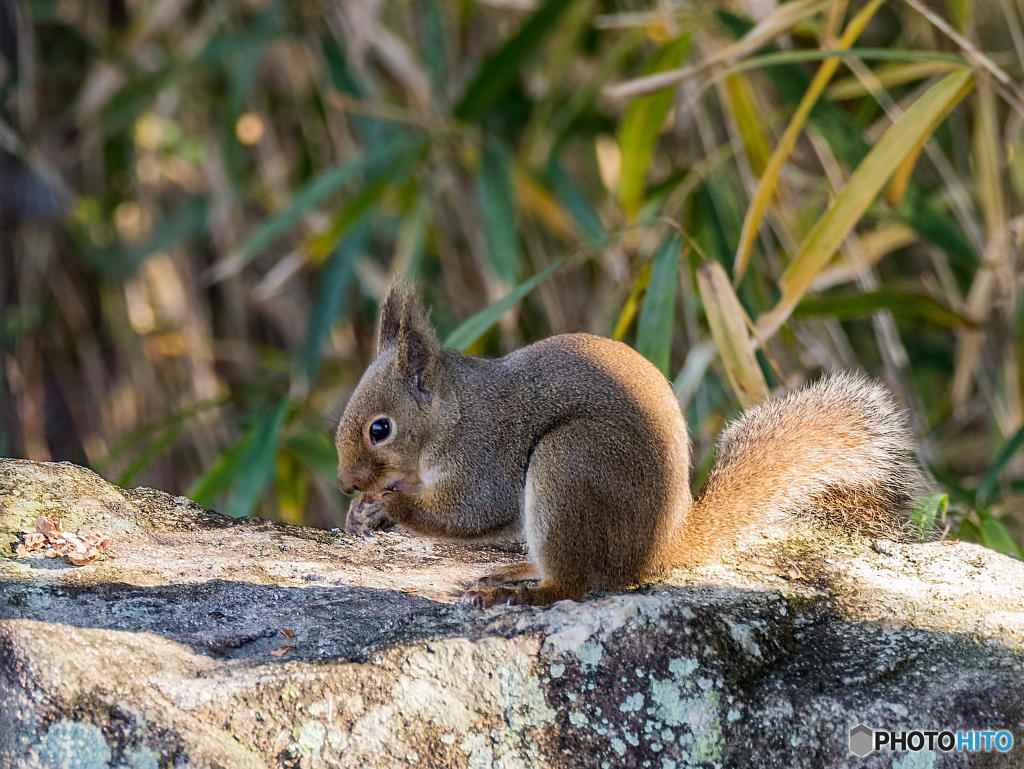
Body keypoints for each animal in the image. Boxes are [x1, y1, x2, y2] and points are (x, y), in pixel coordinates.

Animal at [335, 286, 929, 610]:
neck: (452, 415)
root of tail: (657, 550)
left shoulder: (488, 449)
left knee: (575, 582)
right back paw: (513, 572)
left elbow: (472, 511)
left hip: (568, 463)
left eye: (380, 429)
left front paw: (391, 507)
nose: (345, 483)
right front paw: (361, 512)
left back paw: (523, 592)